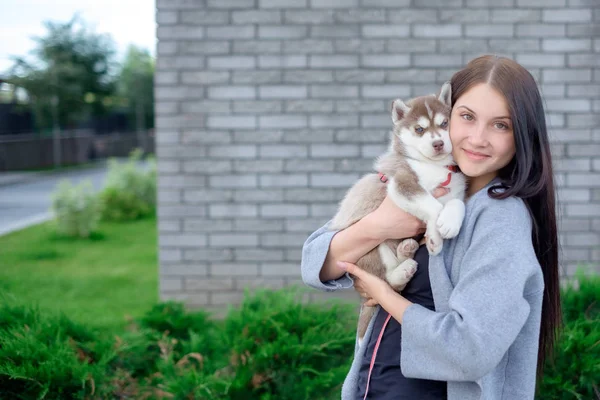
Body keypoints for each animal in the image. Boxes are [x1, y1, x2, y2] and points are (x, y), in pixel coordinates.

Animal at [328, 82, 468, 340]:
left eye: (445, 123)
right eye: (419, 129)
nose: (438, 143)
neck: (434, 166)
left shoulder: (455, 189)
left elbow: (456, 204)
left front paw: (449, 223)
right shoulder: (403, 184)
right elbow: (433, 206)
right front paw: (434, 239)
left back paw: (407, 250)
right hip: (372, 246)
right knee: (386, 282)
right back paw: (401, 270)